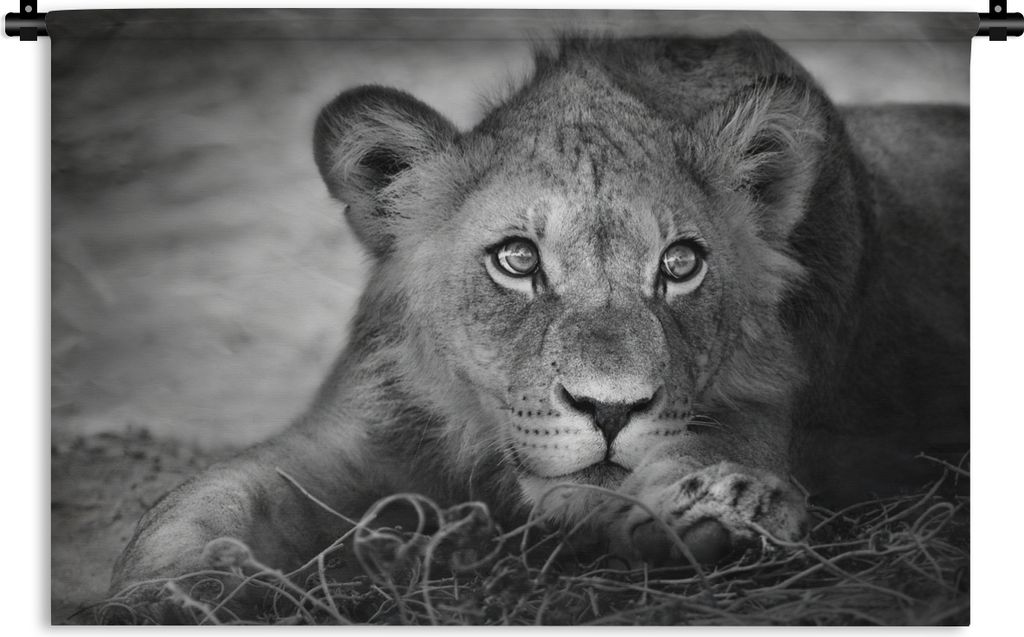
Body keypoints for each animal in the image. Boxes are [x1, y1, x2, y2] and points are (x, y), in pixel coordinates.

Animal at [110, 32, 969, 606]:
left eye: (680, 264)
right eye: (517, 259)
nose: (611, 409)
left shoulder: (752, 413)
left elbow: (711, 460)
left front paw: (728, 508)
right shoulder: (352, 434)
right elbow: (203, 499)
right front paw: (169, 590)